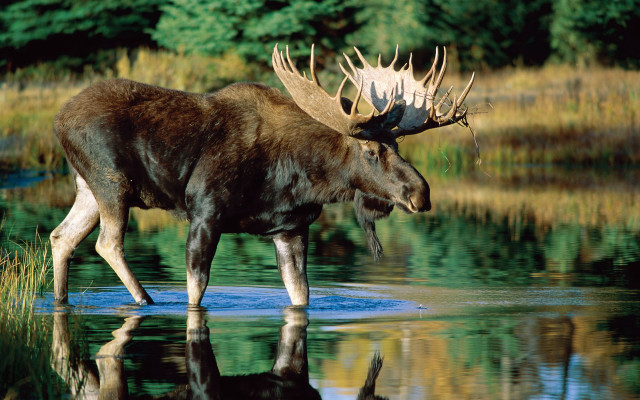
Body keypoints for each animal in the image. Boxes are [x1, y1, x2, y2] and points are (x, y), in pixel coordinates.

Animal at [50, 44, 474, 306]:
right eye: (371, 151)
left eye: (398, 146)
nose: (421, 193)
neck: (300, 178)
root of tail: (59, 119)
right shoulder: (205, 211)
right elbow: (195, 291)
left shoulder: (291, 227)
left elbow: (301, 295)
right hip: (111, 181)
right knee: (107, 243)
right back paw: (145, 300)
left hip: (88, 186)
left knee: (61, 236)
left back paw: (61, 300)